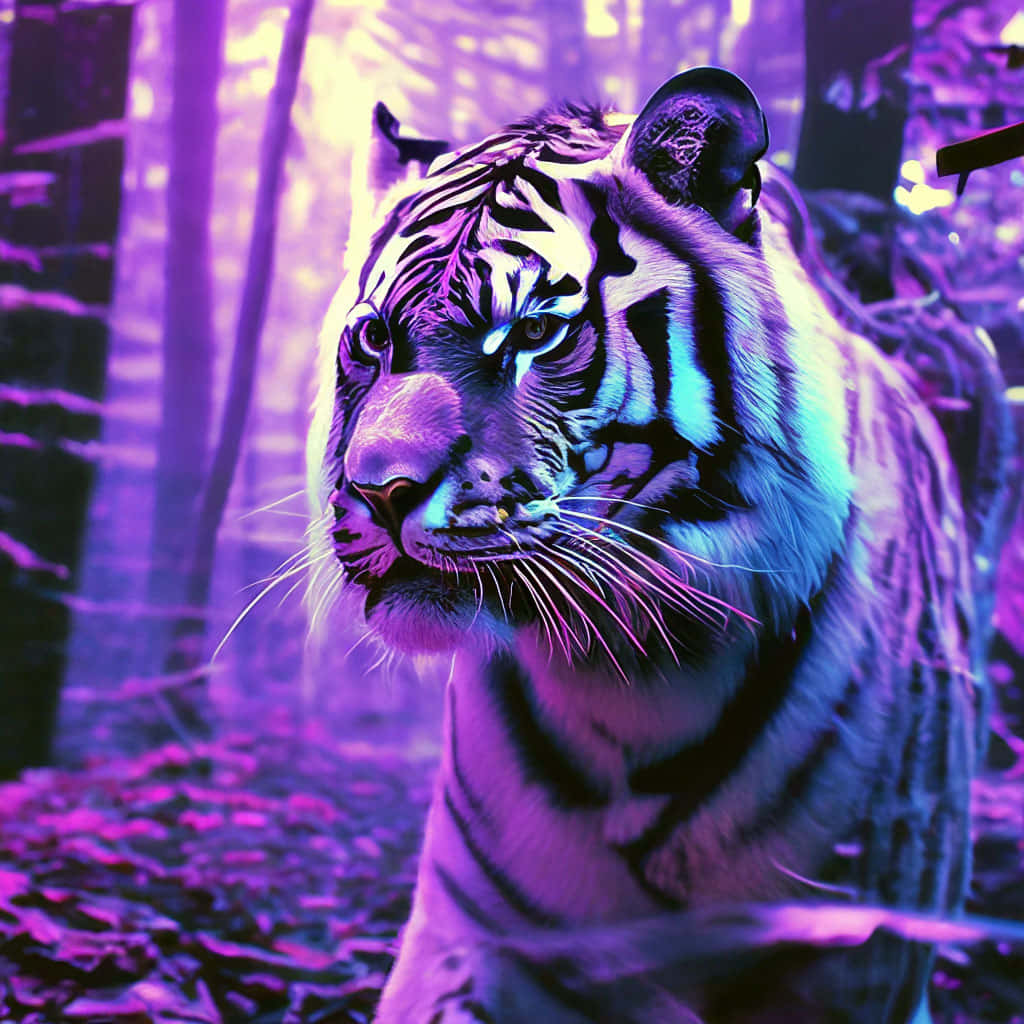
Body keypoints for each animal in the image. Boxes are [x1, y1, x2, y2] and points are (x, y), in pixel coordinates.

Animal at [306, 67, 1012, 1022]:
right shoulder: (476, 940)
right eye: (377, 337)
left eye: (535, 333)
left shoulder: (855, 969)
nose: (381, 492)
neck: (631, 687)